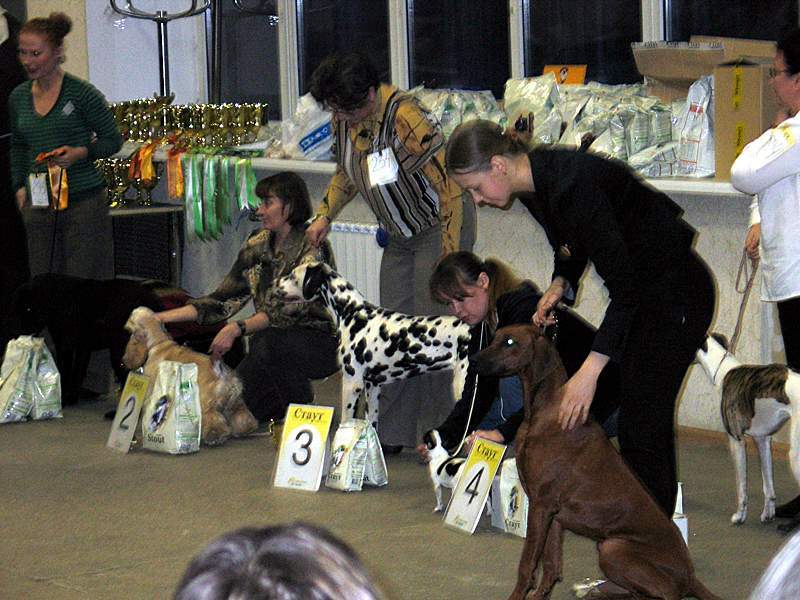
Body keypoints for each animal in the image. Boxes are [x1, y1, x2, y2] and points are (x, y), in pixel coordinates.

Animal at [2, 274, 244, 405]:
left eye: (27, 308)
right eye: (15, 306)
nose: (13, 328)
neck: (56, 298)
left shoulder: (66, 345)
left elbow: (66, 371)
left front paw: (66, 398)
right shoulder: (82, 348)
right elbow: (78, 372)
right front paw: (72, 396)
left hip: (117, 349)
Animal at [122, 307, 257, 446]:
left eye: (129, 326)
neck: (159, 342)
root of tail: (221, 371)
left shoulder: (152, 394)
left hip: (206, 403)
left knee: (213, 419)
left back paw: (214, 436)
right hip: (235, 401)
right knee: (241, 415)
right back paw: (245, 429)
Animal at [277, 262, 472, 430]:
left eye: (292, 275)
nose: (275, 284)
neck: (352, 312)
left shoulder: (351, 384)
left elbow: (344, 424)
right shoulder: (373, 386)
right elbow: (371, 424)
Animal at [471, 324, 719, 600]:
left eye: (510, 342)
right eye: (494, 337)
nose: (473, 360)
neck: (544, 410)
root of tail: (691, 576)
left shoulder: (540, 505)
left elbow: (527, 564)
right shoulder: (553, 515)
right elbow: (552, 566)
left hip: (613, 547)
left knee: (662, 595)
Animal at [695, 333, 800, 527]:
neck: (724, 370)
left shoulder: (736, 440)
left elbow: (741, 487)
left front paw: (739, 516)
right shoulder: (763, 440)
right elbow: (768, 486)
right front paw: (768, 514)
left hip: (795, 455)